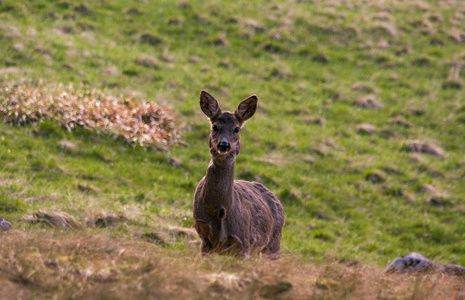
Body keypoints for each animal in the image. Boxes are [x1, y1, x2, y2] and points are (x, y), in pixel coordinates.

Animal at [191, 90, 282, 258]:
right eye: (215, 126)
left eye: (237, 129)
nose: (224, 144)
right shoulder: (204, 239)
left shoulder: (243, 242)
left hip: (274, 243)